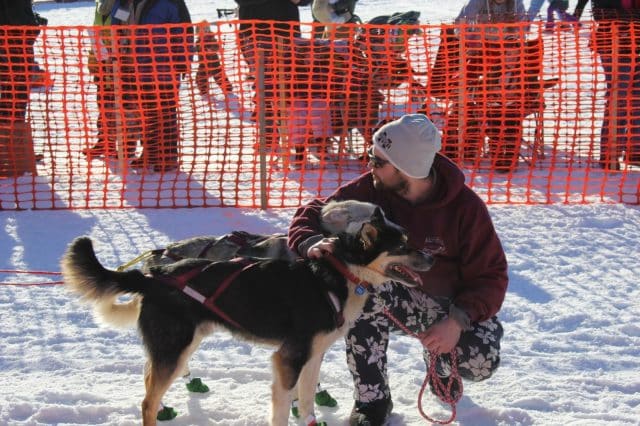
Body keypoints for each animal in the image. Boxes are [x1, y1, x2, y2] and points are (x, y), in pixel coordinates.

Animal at [61, 201, 436, 424]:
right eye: (402, 246)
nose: (433, 257)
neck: (338, 272)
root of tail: (155, 274)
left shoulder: (312, 357)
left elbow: (307, 403)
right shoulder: (288, 358)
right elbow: (283, 408)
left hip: (182, 346)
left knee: (148, 379)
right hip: (175, 349)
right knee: (146, 402)